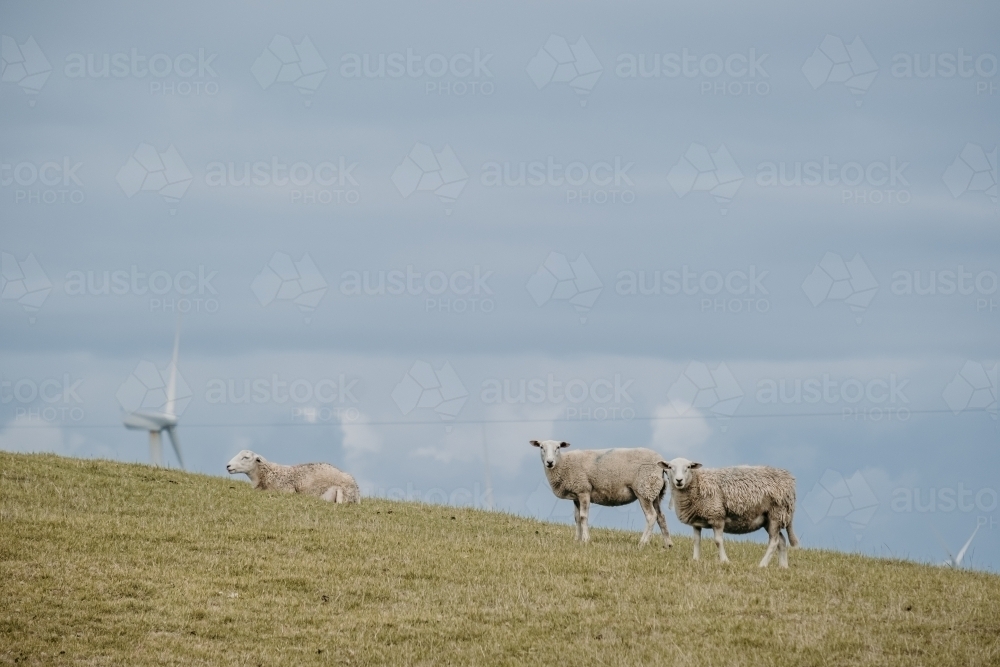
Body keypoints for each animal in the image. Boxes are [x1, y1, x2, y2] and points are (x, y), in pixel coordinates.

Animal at [532, 438, 672, 548]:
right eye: (541, 447)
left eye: (558, 447)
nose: (549, 462)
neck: (563, 463)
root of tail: (662, 462)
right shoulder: (576, 495)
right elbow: (577, 518)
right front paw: (577, 540)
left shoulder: (584, 490)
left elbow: (583, 517)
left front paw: (585, 539)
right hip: (655, 492)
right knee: (661, 517)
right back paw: (668, 544)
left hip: (644, 489)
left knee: (651, 516)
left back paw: (642, 543)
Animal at [660, 460, 800, 568]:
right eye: (670, 467)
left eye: (688, 467)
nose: (679, 481)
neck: (698, 483)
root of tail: (789, 479)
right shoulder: (697, 521)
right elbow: (696, 541)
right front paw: (695, 559)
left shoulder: (717, 516)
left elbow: (718, 541)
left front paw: (724, 561)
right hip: (769, 519)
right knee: (781, 541)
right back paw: (783, 567)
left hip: (776, 513)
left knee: (774, 542)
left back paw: (762, 565)